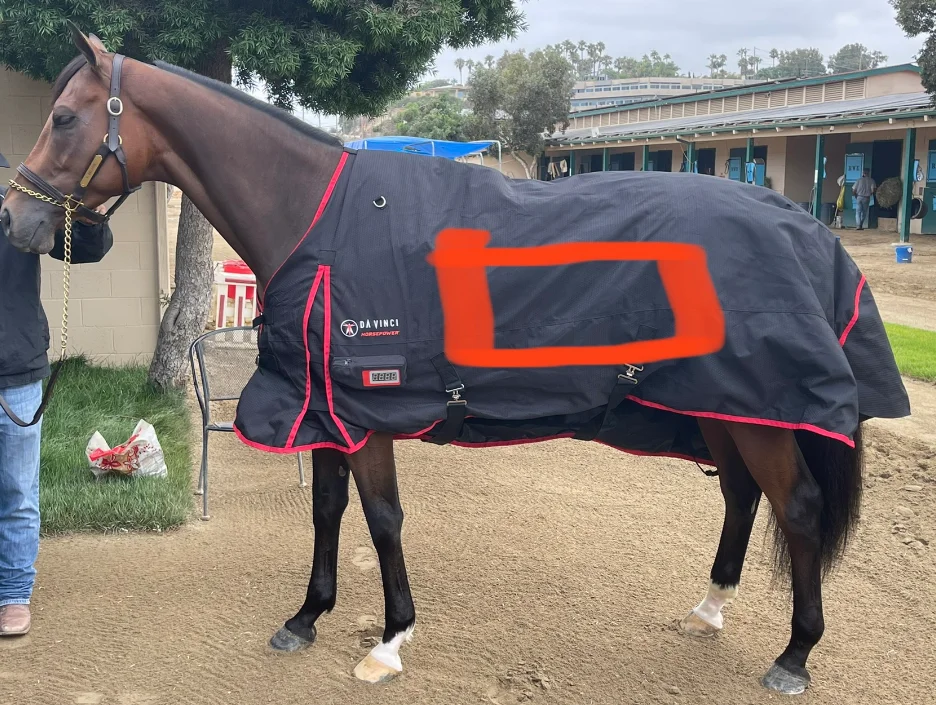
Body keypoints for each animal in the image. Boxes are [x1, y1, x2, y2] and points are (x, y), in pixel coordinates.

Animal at [0, 27, 911, 695]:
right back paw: (709, 606)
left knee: (795, 507)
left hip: (759, 409)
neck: (316, 215)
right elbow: (327, 510)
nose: (16, 221)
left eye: (67, 118)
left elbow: (382, 517)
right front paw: (306, 617)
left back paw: (794, 654)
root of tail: (803, 228)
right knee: (741, 495)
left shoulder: (367, 409)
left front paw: (389, 640)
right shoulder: (328, 407)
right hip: (722, 404)